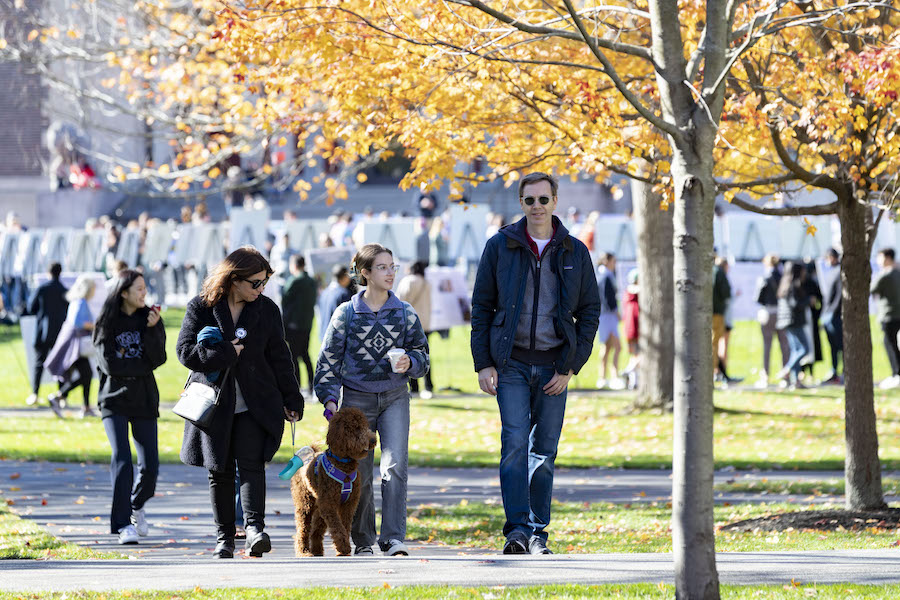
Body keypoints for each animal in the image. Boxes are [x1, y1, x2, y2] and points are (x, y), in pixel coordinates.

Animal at [292, 408, 376, 556]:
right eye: (356, 428)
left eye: (365, 426)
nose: (373, 440)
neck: (344, 465)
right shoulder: (329, 504)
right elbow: (337, 527)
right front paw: (343, 548)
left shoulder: (349, 504)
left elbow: (345, 527)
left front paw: (343, 550)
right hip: (305, 503)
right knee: (302, 529)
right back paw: (304, 551)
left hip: (319, 507)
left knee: (315, 531)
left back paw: (317, 551)